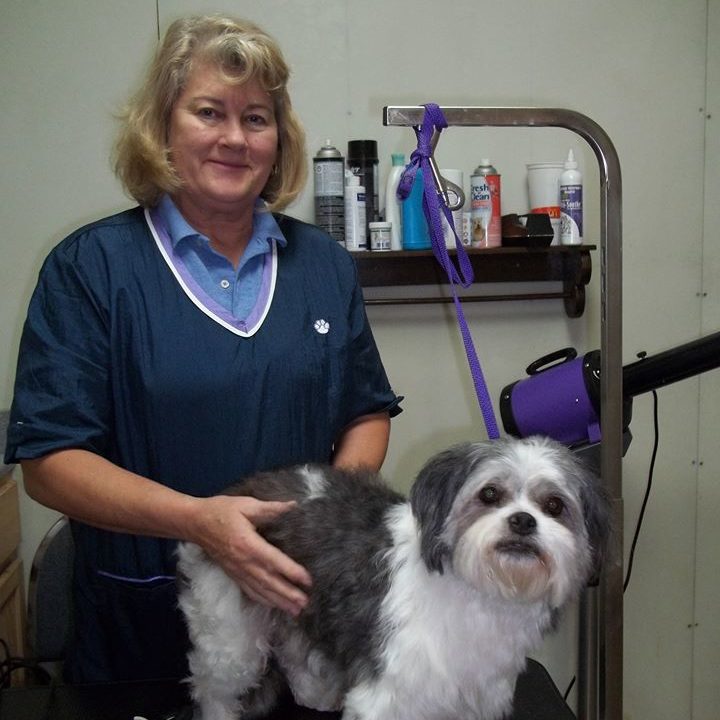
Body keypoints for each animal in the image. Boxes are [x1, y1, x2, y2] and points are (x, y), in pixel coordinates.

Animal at [176, 434, 608, 720]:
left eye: (554, 505)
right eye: (489, 494)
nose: (522, 521)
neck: (478, 594)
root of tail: (239, 489)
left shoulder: (473, 696)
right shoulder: (392, 693)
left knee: (297, 652)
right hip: (228, 627)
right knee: (216, 685)